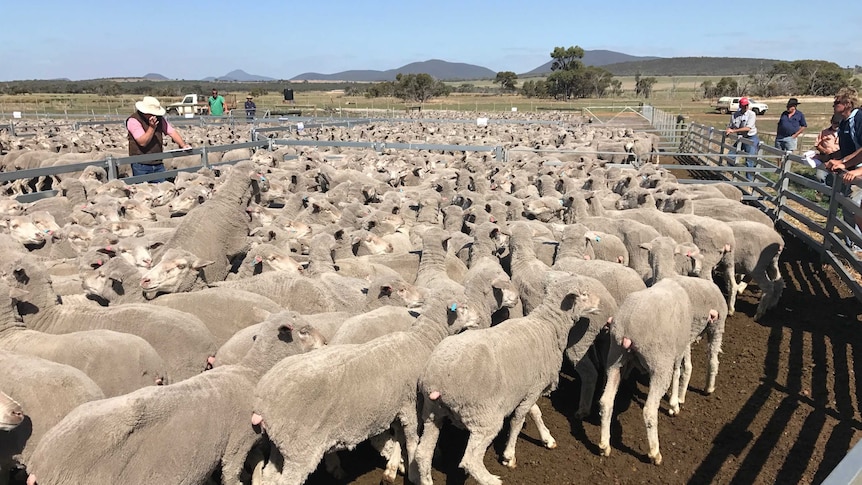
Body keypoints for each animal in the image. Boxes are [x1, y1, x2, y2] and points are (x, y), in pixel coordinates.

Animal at [24, 310, 328, 484]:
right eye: (303, 331)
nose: (326, 342)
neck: (253, 371)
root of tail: (40, 462)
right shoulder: (238, 442)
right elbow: (232, 473)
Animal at [416, 272, 604, 484]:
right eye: (584, 294)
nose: (601, 303)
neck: (548, 326)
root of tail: (436, 378)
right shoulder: (534, 388)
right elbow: (518, 420)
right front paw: (509, 455)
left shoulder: (527, 387)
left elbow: (535, 412)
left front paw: (547, 438)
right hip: (483, 417)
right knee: (470, 461)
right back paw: (493, 480)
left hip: (433, 413)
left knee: (423, 454)